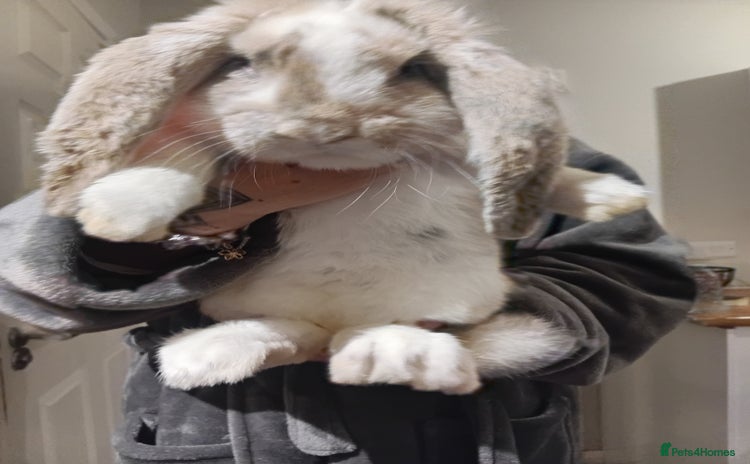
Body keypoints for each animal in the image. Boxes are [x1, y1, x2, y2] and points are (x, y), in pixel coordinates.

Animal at [37, 0, 648, 393]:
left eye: (412, 69)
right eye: (240, 64)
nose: (327, 124)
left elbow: (558, 175)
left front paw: (616, 198)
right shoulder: (205, 143)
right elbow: (184, 154)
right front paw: (120, 210)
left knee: (381, 335)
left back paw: (395, 358)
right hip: (268, 308)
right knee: (291, 335)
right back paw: (203, 356)